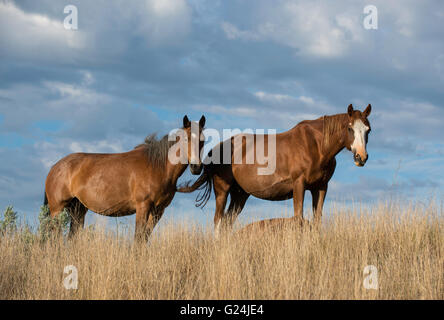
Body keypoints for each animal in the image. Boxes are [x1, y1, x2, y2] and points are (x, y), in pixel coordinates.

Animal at [43, 115, 206, 240]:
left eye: (203, 140)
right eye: (185, 139)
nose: (196, 167)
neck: (157, 167)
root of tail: (55, 167)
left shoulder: (158, 210)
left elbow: (145, 237)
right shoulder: (143, 207)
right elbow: (138, 237)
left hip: (78, 209)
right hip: (57, 209)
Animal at [180, 104, 372, 234]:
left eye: (368, 130)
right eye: (350, 128)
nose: (361, 157)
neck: (316, 146)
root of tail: (216, 149)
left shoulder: (320, 188)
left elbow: (317, 220)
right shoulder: (299, 185)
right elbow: (298, 217)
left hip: (240, 195)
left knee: (227, 222)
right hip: (223, 191)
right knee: (218, 221)